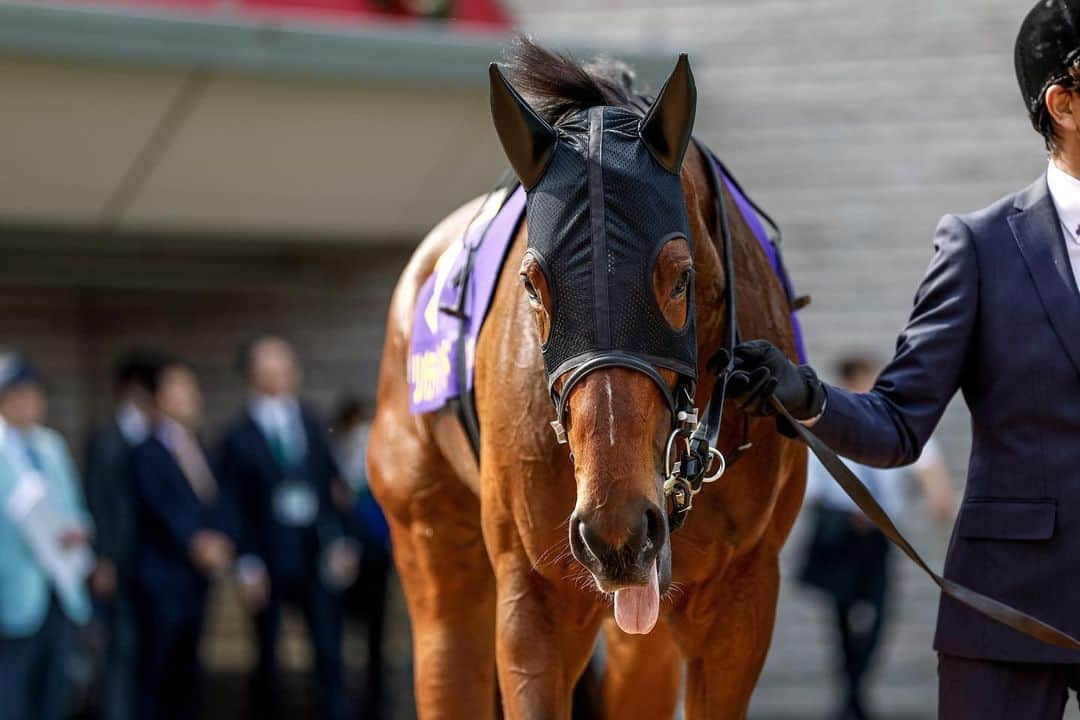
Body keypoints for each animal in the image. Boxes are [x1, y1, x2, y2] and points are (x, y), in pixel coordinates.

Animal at [367, 40, 807, 720]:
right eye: (531, 283)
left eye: (680, 277)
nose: (614, 531)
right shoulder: (536, 598)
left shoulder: (741, 595)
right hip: (437, 556)